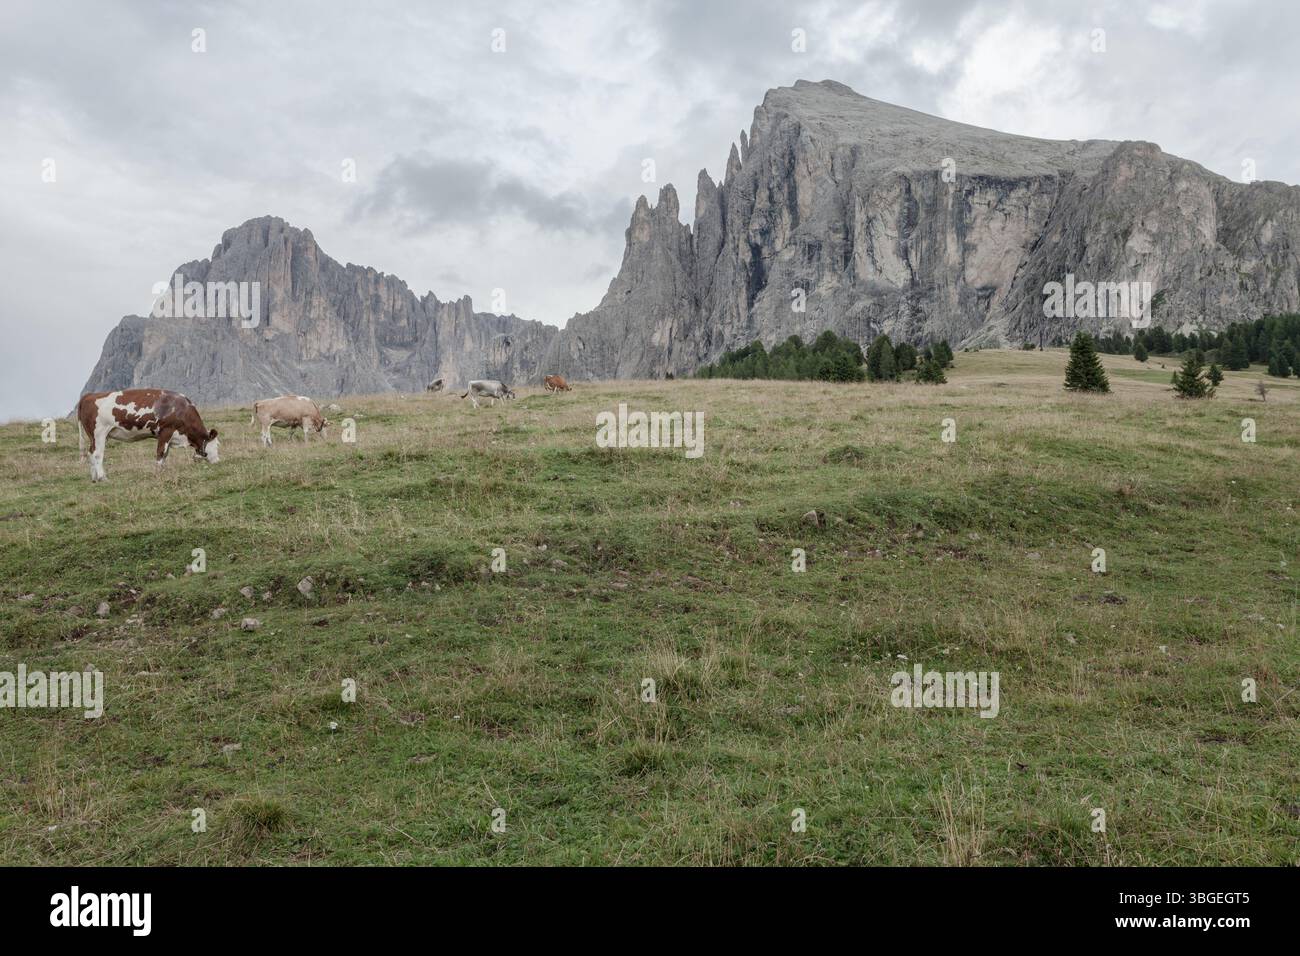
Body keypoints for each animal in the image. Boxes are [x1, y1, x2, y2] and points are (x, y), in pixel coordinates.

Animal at [77, 388, 220, 483]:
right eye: (217, 445)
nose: (218, 461)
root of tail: (88, 396)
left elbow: (165, 454)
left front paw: (162, 471)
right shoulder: (166, 431)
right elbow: (161, 453)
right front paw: (158, 473)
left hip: (94, 436)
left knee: (91, 453)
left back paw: (94, 478)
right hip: (99, 433)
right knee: (97, 454)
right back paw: (102, 477)